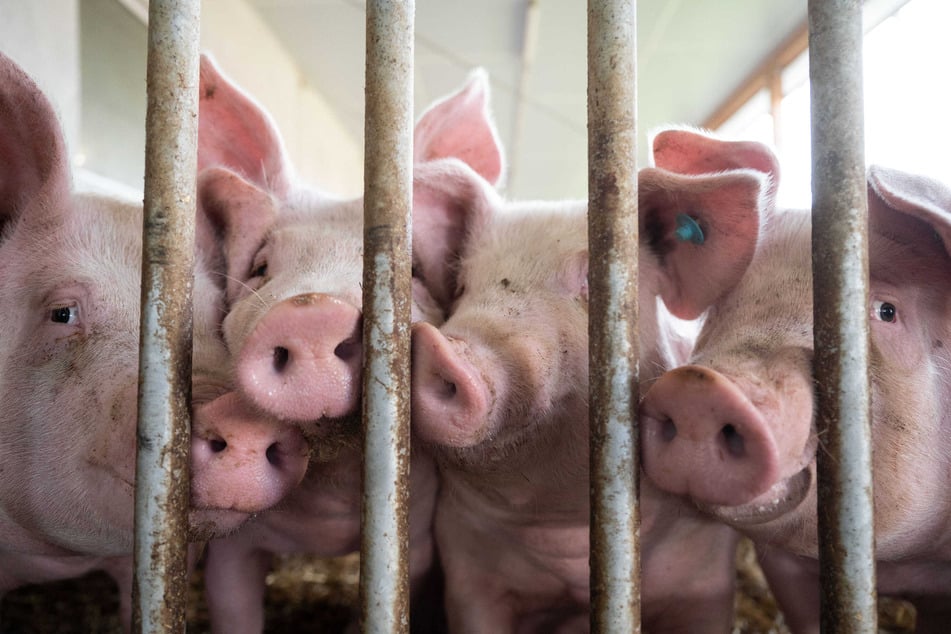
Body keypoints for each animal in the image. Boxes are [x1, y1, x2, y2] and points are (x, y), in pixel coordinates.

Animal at [410, 121, 772, 624]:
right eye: (462, 286)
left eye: (593, 280)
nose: (440, 344)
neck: (566, 525)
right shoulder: (469, 575)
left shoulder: (703, 579)